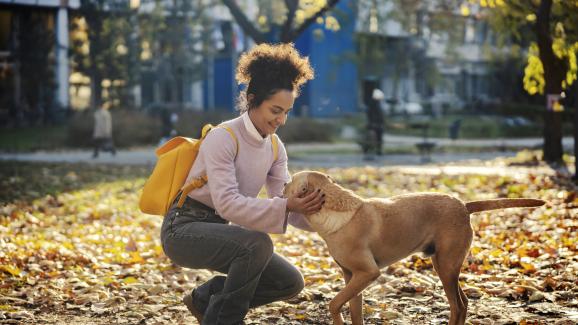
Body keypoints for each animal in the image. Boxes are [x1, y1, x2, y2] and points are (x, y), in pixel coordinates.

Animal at [284, 170, 544, 324]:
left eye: (288, 183)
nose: (282, 184)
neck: (337, 210)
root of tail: (464, 205)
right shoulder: (352, 277)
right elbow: (353, 310)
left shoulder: (367, 273)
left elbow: (334, 303)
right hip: (444, 266)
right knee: (463, 304)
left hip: (446, 266)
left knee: (458, 306)